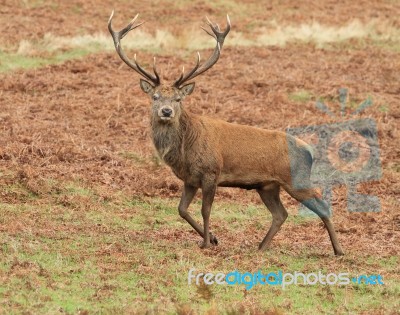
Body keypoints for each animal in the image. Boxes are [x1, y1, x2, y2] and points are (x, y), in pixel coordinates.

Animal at [108, 11, 344, 256]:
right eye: (155, 97)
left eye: (178, 99)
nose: (166, 111)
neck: (184, 151)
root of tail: (309, 150)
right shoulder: (190, 179)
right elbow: (182, 209)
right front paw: (213, 238)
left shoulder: (211, 172)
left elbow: (205, 209)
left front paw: (205, 243)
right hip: (268, 186)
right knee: (281, 214)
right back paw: (261, 247)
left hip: (296, 179)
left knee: (323, 205)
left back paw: (338, 250)